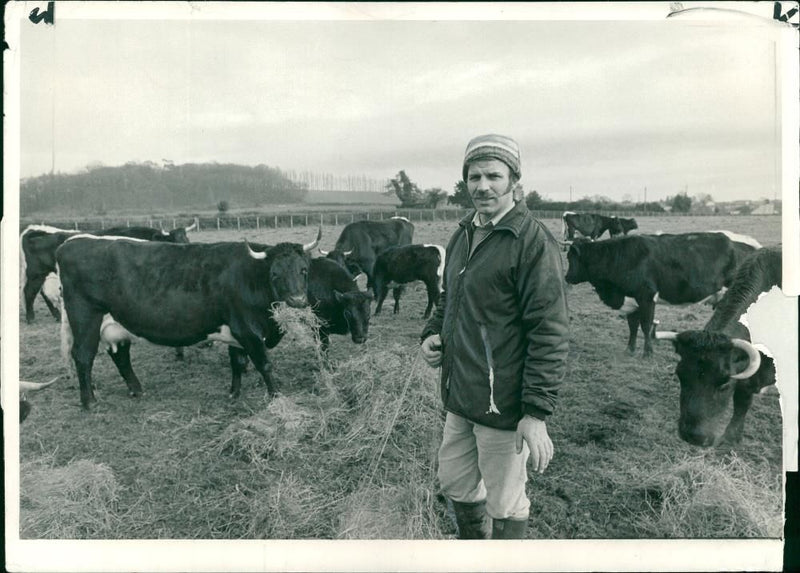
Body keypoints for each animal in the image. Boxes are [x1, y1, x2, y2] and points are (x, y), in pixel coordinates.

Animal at [20, 221, 197, 324]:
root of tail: (35, 230)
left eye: (187, 240)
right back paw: (30, 318)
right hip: (35, 272)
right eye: (175, 241)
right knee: (29, 291)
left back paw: (56, 315)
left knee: (41, 292)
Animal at [54, 229, 318, 412]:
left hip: (114, 323)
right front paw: (276, 398)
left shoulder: (236, 333)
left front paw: (233, 394)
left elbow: (237, 362)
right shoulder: (248, 330)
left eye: (304, 269)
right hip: (85, 316)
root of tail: (72, 242)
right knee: (83, 356)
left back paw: (137, 390)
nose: (297, 299)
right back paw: (89, 402)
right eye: (275, 273)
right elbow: (265, 365)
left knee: (120, 355)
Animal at [564, 230, 760, 356]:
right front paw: (630, 349)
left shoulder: (647, 297)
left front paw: (648, 352)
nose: (567, 277)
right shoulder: (632, 299)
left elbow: (645, 325)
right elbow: (632, 326)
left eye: (571, 257)